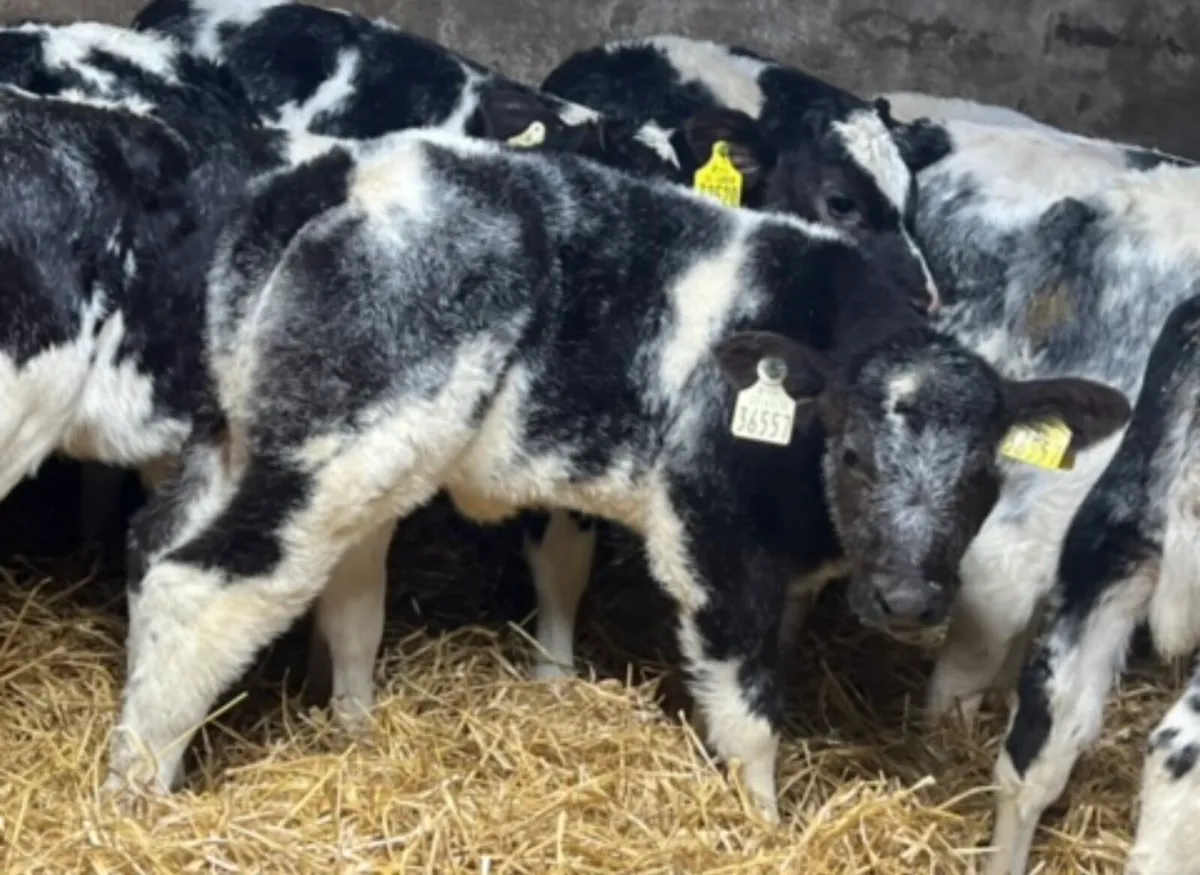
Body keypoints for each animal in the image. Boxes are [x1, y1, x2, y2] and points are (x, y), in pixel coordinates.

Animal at [103, 123, 1127, 823]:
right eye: (854, 451)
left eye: (984, 475)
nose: (911, 601)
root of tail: (347, 170)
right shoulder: (710, 528)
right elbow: (747, 698)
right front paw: (764, 823)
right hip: (337, 444)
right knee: (206, 582)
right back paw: (138, 789)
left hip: (255, 437)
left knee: (184, 554)